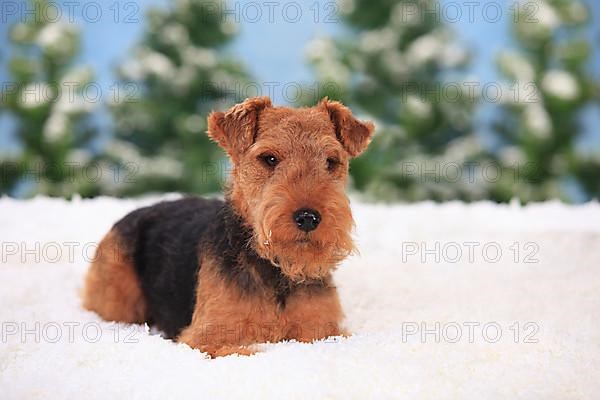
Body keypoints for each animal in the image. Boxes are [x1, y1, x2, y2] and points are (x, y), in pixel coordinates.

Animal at [83, 96, 376, 356]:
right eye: (269, 158)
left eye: (331, 161)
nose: (308, 217)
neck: (275, 271)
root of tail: (134, 213)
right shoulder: (205, 339)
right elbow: (249, 350)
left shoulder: (324, 332)